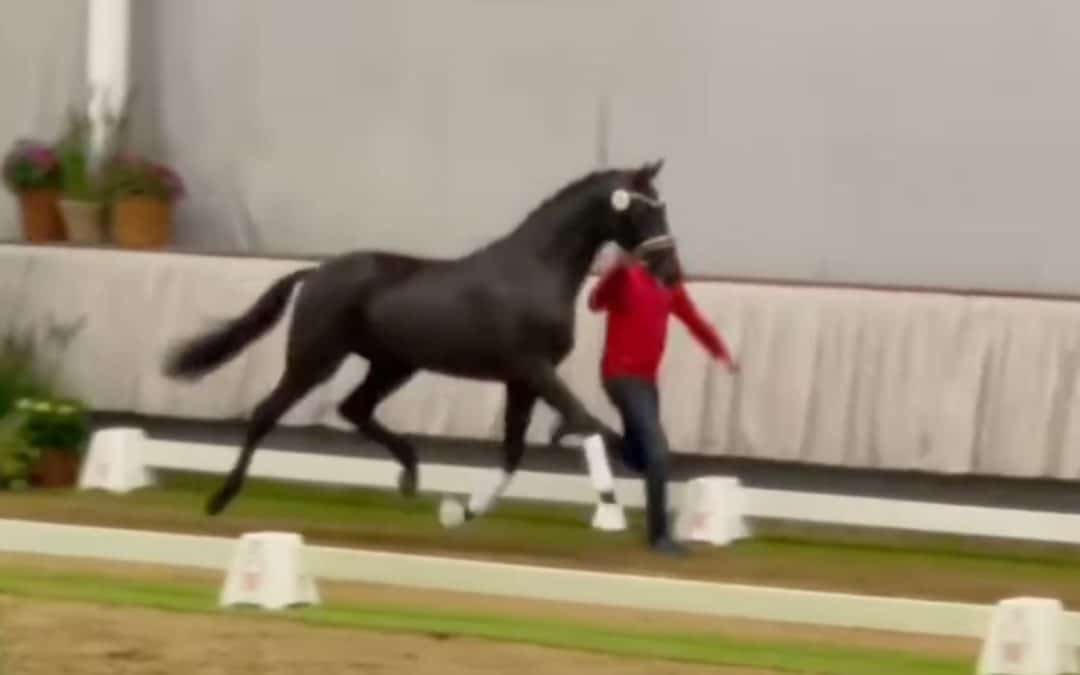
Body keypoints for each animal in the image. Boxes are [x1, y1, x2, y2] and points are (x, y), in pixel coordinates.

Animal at [163, 160, 681, 525]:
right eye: (645, 208)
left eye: (662, 206)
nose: (670, 271)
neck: (534, 270)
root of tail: (315, 272)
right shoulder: (533, 369)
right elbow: (589, 424)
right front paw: (614, 492)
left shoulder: (521, 381)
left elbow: (514, 451)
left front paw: (463, 511)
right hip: (315, 359)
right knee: (266, 414)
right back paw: (220, 499)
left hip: (393, 364)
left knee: (355, 408)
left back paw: (410, 473)